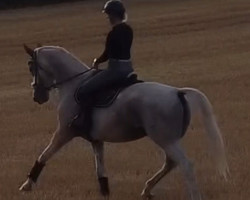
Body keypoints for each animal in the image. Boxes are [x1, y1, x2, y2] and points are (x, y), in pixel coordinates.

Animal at [19, 45, 229, 200]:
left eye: (31, 66)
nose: (37, 97)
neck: (73, 85)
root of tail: (177, 92)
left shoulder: (64, 132)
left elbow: (44, 155)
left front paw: (27, 184)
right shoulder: (96, 140)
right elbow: (100, 168)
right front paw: (105, 192)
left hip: (165, 140)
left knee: (185, 165)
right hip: (169, 140)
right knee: (171, 163)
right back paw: (147, 189)